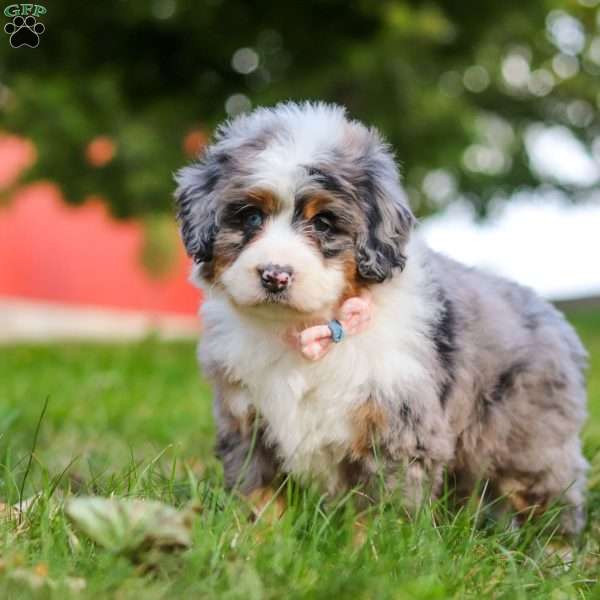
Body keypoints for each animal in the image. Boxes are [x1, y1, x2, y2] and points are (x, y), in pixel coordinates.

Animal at [176, 102, 588, 536]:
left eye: (323, 222)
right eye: (251, 216)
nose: (275, 275)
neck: (309, 331)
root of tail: (552, 316)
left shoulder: (398, 430)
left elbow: (380, 514)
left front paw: (369, 548)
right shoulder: (247, 421)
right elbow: (258, 494)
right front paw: (253, 538)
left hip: (531, 445)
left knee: (551, 500)